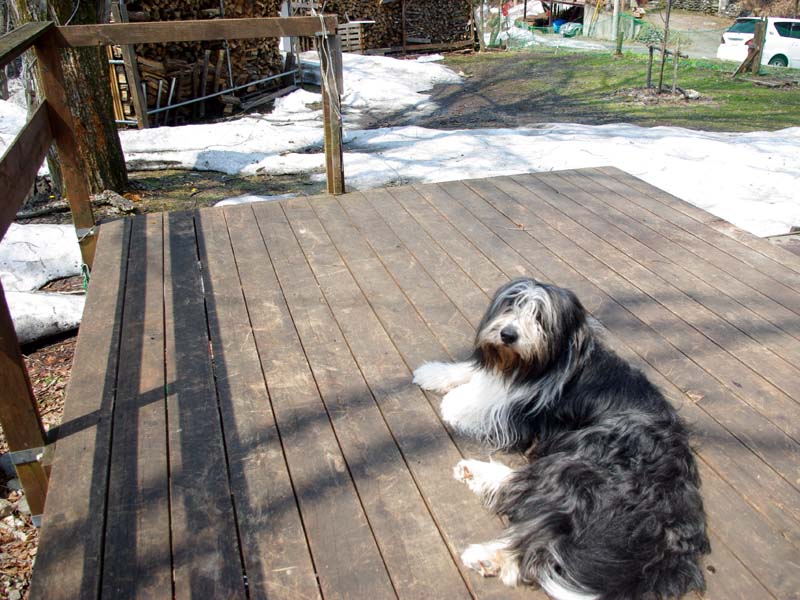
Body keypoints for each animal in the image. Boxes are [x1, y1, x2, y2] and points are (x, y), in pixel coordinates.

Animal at [413, 278, 710, 600]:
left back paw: (489, 556)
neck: (536, 364)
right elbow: (474, 373)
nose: (508, 334)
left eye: (540, 317)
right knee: (525, 489)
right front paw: (433, 373)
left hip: (580, 469)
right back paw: (475, 475)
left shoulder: (517, 415)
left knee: (538, 529)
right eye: (511, 304)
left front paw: (453, 402)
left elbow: (482, 401)